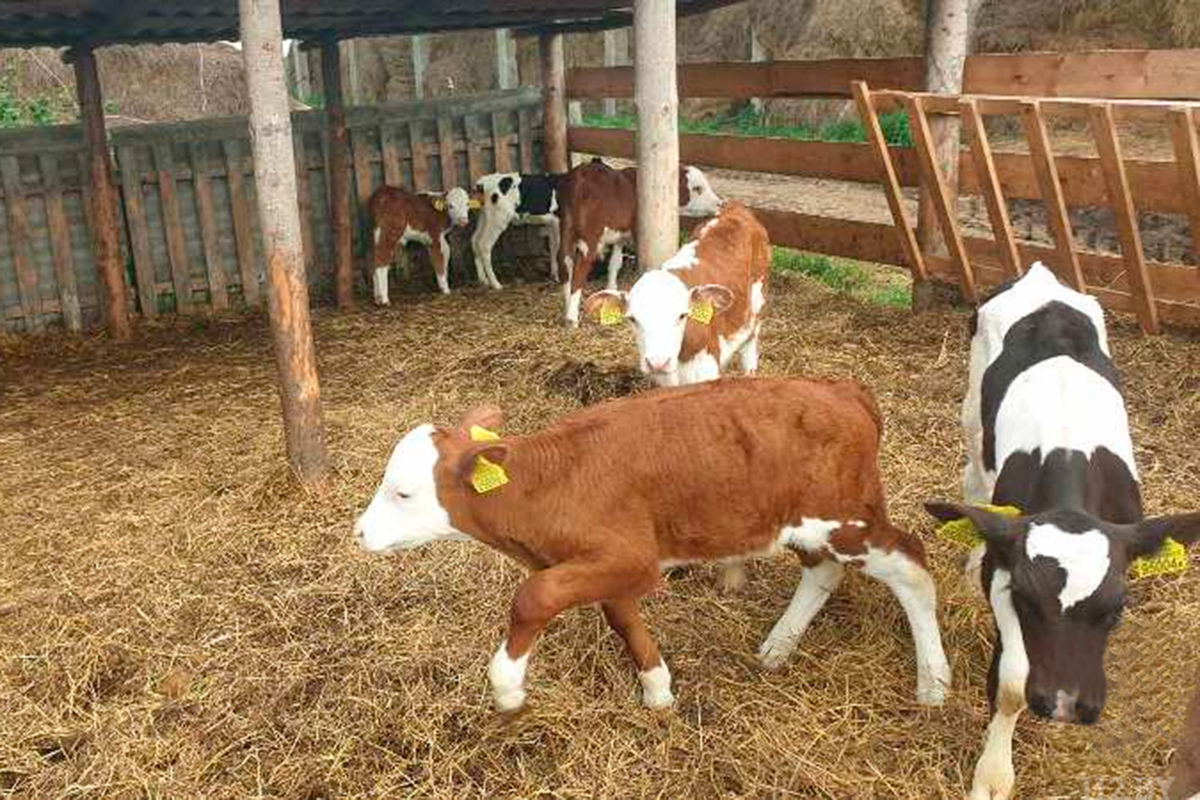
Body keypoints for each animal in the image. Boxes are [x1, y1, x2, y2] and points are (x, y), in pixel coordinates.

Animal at [355, 378, 952, 714]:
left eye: (403, 491)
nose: (359, 533)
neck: (546, 487)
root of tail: (843, 389)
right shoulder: (609, 562)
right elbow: (621, 618)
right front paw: (658, 689)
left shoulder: (632, 559)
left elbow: (534, 597)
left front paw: (507, 690)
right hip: (800, 522)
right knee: (823, 572)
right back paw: (777, 648)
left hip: (848, 517)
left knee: (913, 566)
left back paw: (935, 684)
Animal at [556, 159, 722, 326]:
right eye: (697, 188)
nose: (720, 203)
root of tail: (581, 173)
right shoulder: (638, 230)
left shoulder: (620, 236)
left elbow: (615, 263)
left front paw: (612, 289)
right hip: (589, 235)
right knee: (579, 269)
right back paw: (572, 318)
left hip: (565, 228)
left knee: (564, 262)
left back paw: (567, 304)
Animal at [924, 262, 1200, 800]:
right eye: (1028, 602)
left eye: (1116, 609)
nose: (1066, 704)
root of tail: (1039, 275)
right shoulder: (1005, 571)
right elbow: (1012, 682)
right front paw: (993, 774)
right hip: (973, 411)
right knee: (974, 477)